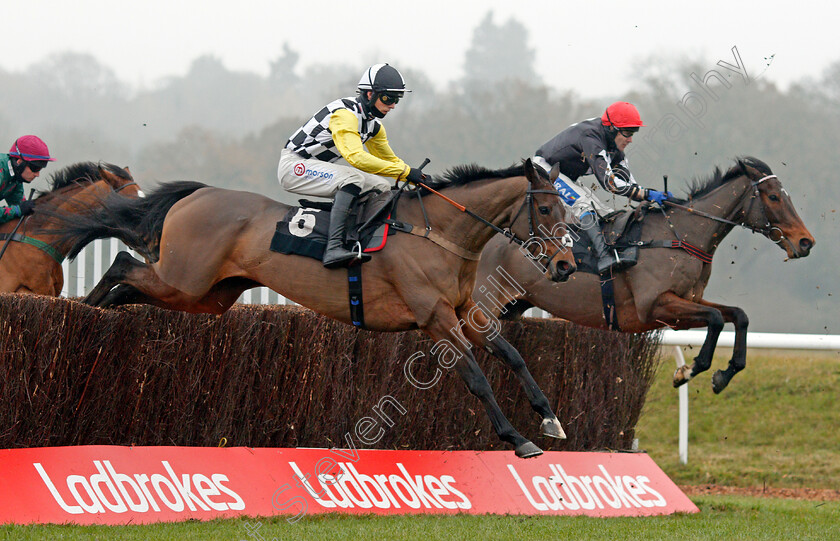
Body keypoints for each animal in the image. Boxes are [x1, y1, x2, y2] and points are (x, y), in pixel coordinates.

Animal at [54, 159, 576, 456]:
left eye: (569, 211)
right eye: (546, 210)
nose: (567, 265)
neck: (439, 233)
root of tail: (199, 193)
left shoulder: (468, 312)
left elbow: (513, 356)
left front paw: (549, 418)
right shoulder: (436, 318)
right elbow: (477, 379)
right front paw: (518, 439)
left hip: (208, 296)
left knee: (129, 282)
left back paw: (98, 312)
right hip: (185, 280)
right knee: (123, 262)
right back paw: (89, 312)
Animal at [480, 156, 812, 392]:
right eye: (773, 197)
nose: (806, 242)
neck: (679, 236)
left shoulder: (688, 301)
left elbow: (738, 315)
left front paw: (723, 375)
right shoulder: (654, 305)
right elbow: (717, 319)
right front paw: (687, 371)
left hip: (512, 308)